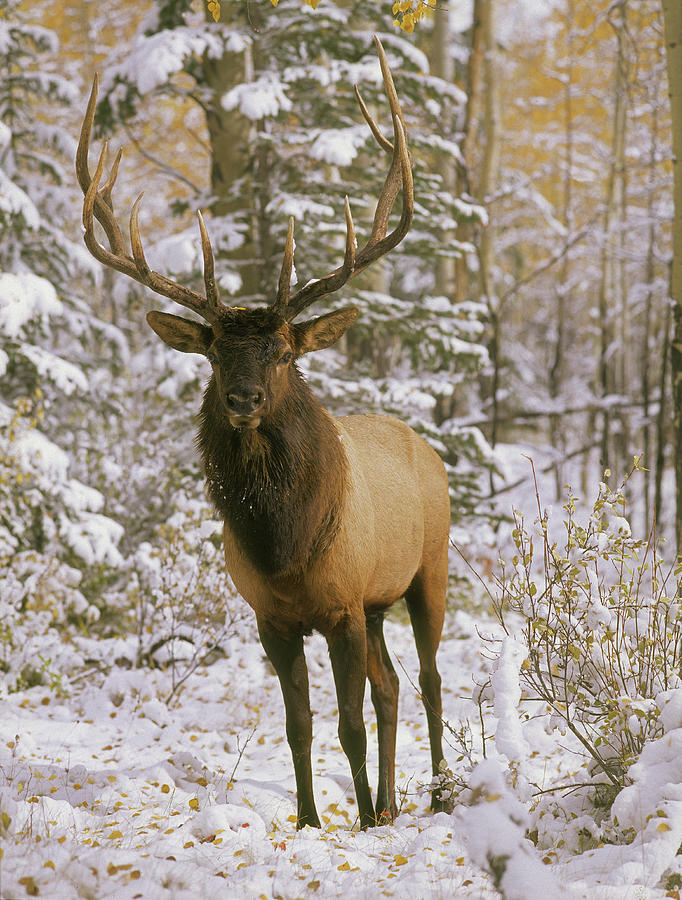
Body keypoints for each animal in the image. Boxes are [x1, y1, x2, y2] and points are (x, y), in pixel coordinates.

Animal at [77, 40, 448, 828]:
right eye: (216, 351)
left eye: (281, 350)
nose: (243, 399)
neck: (285, 545)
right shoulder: (272, 619)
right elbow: (299, 724)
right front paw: (312, 820)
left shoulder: (340, 605)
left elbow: (347, 721)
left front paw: (356, 820)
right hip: (378, 602)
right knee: (394, 685)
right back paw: (395, 804)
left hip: (428, 567)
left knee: (429, 679)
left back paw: (436, 794)